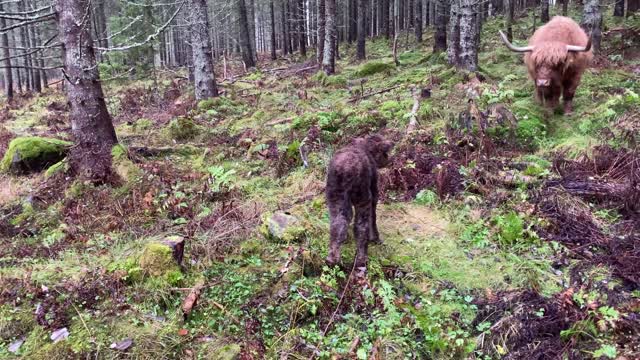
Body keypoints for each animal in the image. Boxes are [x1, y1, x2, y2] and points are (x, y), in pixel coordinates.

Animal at [328, 134, 392, 268]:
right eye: (384, 152)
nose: (388, 158)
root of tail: (345, 170)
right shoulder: (374, 191)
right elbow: (373, 218)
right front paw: (375, 238)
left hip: (335, 198)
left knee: (337, 224)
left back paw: (332, 260)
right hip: (362, 197)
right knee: (361, 226)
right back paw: (362, 260)